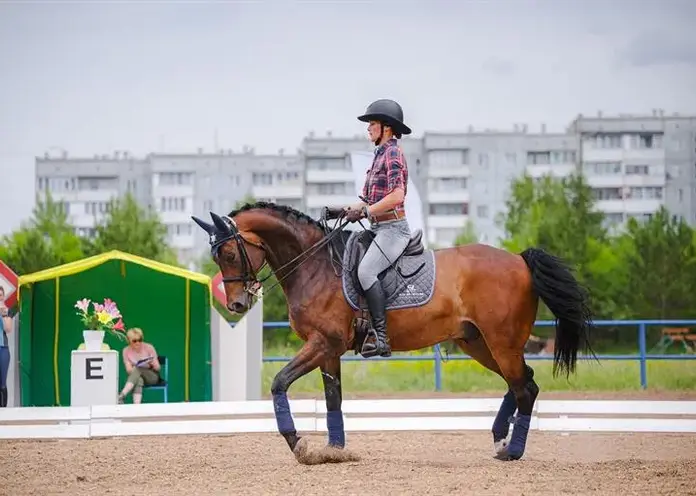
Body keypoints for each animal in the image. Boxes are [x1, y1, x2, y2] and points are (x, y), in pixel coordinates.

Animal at [193, 200, 596, 464]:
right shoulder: (329, 350)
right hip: (479, 343)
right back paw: (500, 439)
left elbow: (279, 383)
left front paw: (300, 445)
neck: (315, 265)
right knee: (522, 382)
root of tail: (519, 260)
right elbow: (333, 399)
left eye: (229, 254)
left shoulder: (323, 342)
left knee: (525, 387)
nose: (237, 305)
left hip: (501, 342)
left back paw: (512, 451)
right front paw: (336, 452)